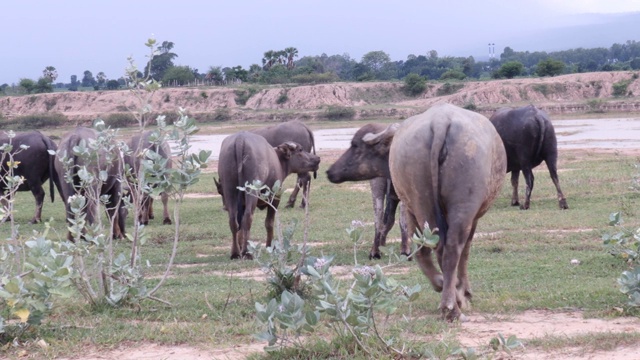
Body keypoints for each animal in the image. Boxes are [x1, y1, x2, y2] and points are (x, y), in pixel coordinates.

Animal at [390, 103, 504, 320]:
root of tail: (440, 121)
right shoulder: (474, 216)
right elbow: (466, 249)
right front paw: (465, 292)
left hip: (416, 181)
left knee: (430, 246)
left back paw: (444, 290)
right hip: (466, 180)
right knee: (454, 246)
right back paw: (453, 307)